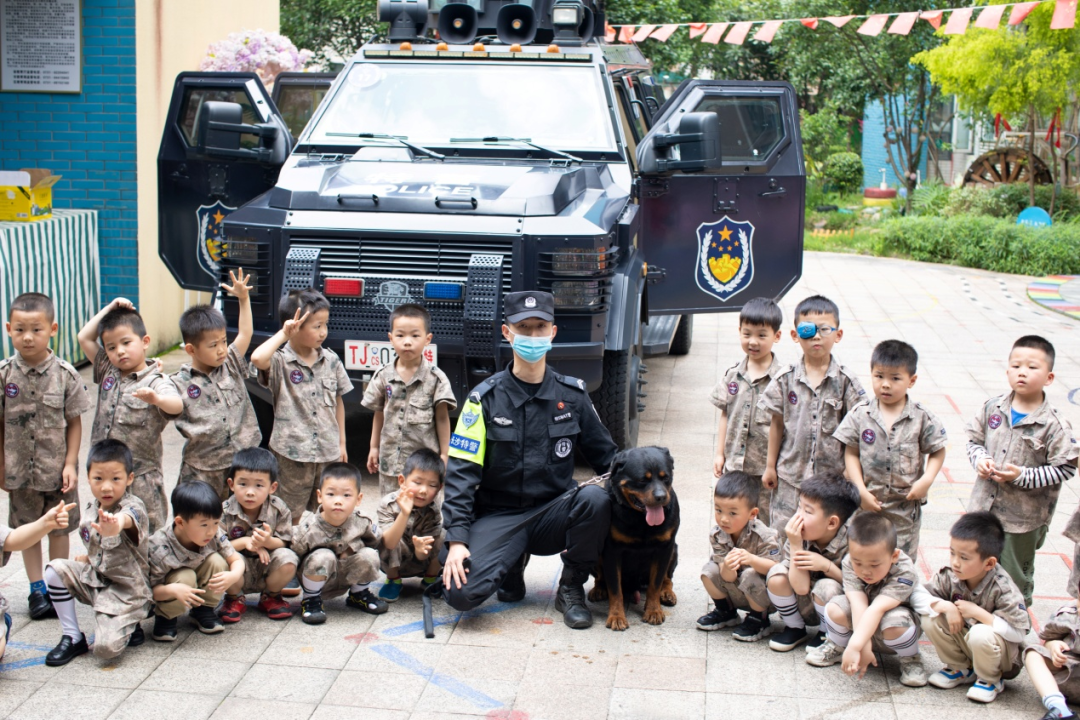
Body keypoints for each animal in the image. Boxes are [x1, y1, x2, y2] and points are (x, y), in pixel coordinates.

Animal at [591, 446, 673, 626]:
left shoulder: (664, 548)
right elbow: (615, 588)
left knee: (667, 578)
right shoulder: (612, 550)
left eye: (666, 478)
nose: (661, 497)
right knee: (601, 577)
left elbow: (655, 584)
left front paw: (653, 610)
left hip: (674, 550)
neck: (640, 519)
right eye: (642, 480)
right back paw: (599, 589)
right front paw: (616, 616)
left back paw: (667, 593)